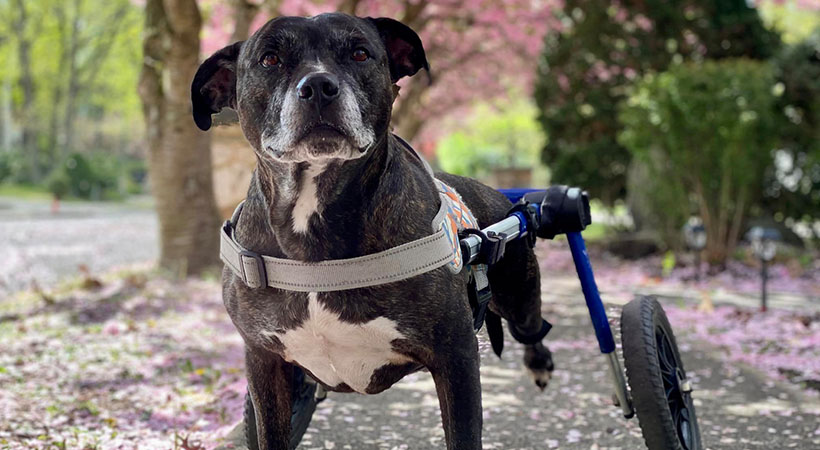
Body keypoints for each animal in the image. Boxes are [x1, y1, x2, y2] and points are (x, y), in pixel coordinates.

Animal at [189, 12, 556, 448]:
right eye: (270, 59)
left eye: (360, 53)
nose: (318, 86)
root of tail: (498, 194)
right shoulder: (265, 362)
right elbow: (270, 432)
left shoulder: (456, 356)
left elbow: (463, 433)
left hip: (519, 296)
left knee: (533, 328)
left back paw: (539, 363)